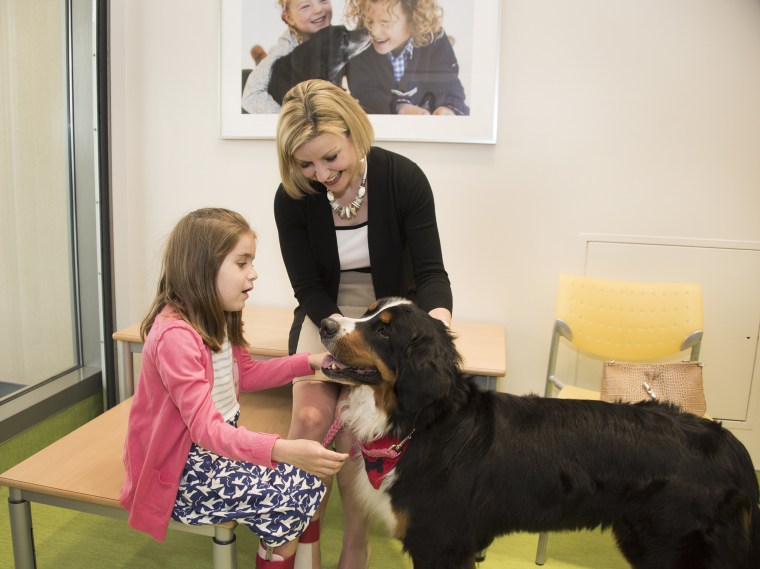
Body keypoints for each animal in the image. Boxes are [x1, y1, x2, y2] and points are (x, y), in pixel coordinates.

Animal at [318, 298, 756, 568]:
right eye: (369, 312)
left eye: (383, 332)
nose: (325, 323)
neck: (420, 424)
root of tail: (731, 445)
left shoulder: (440, 543)